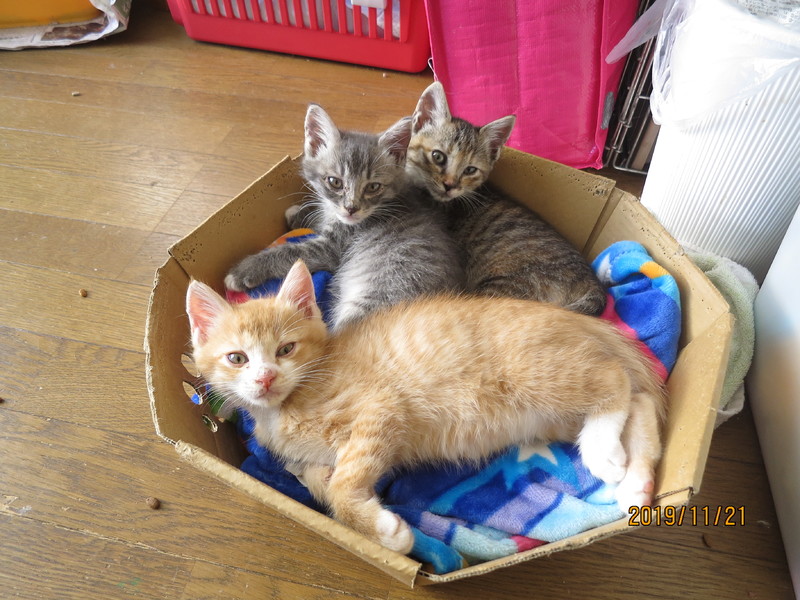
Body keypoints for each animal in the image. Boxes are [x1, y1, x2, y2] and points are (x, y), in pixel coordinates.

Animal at [188, 259, 666, 554]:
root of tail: (579, 320)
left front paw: (387, 533)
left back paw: (604, 453)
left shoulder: (380, 408)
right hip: (552, 414)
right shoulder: (308, 458)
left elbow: (342, 485)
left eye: (286, 349)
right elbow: (317, 481)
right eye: (237, 358)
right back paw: (635, 484)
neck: (285, 405)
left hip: (539, 376)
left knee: (616, 381)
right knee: (640, 400)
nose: (265, 378)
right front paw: (375, 521)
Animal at [224, 103, 464, 332]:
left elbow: (289, 252)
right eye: (335, 182)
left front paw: (243, 271)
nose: (351, 208)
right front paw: (298, 213)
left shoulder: (330, 247)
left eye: (373, 187)